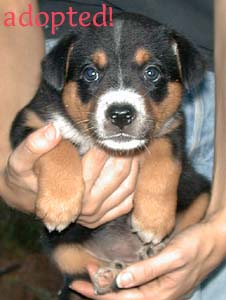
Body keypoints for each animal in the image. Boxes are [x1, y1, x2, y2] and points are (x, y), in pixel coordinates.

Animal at [11, 13, 210, 300]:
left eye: (152, 72)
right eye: (90, 73)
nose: (121, 114)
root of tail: (125, 255)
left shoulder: (172, 128)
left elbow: (162, 160)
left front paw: (153, 220)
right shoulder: (30, 124)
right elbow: (59, 145)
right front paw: (59, 204)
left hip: (198, 190)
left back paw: (154, 251)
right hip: (57, 245)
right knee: (78, 266)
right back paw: (106, 275)